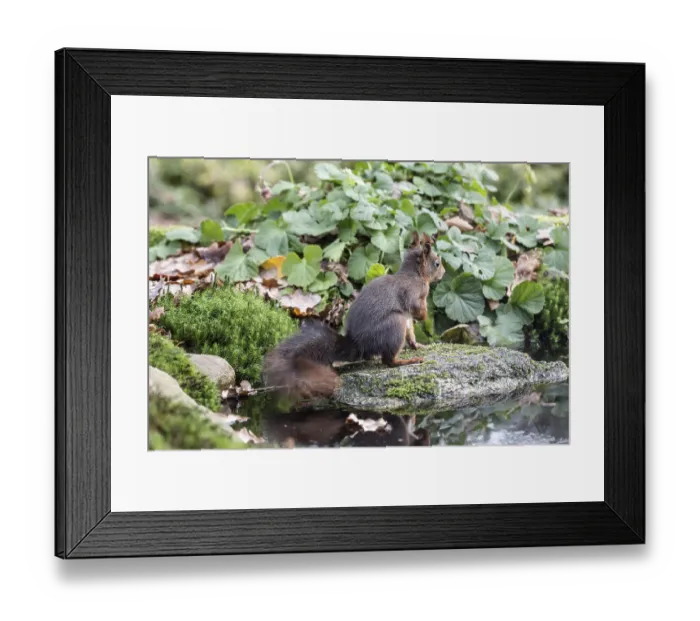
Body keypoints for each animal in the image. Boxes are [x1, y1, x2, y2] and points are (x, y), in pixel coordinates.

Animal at [263, 232, 445, 400]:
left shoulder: (408, 319)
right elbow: (417, 310)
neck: (415, 275)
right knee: (388, 361)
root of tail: (358, 344)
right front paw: (425, 317)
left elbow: (412, 334)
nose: (444, 272)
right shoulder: (412, 295)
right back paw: (406, 361)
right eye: (437, 263)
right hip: (394, 324)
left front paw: (419, 345)